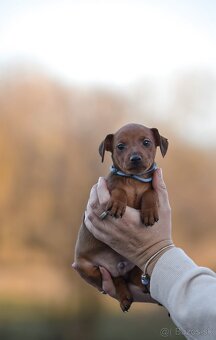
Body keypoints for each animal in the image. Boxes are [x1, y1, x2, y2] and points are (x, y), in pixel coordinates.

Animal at [73, 123, 168, 312]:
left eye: (146, 142)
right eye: (120, 146)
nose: (135, 158)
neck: (134, 180)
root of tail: (119, 267)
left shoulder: (150, 189)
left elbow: (150, 193)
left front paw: (149, 212)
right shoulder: (110, 187)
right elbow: (119, 190)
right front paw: (117, 204)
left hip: (135, 265)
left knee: (131, 276)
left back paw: (146, 286)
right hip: (87, 268)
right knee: (116, 279)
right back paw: (124, 297)